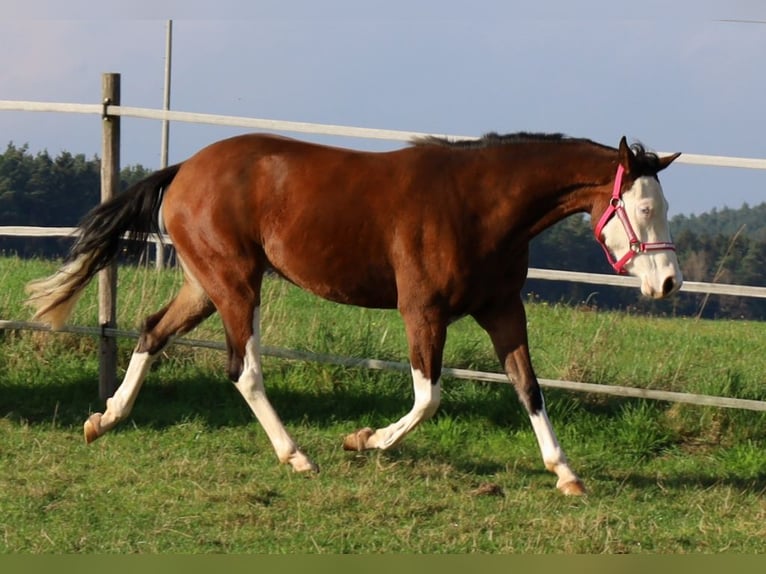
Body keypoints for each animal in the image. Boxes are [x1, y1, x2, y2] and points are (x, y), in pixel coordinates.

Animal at [25, 130, 684, 496]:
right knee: (243, 370)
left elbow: (529, 387)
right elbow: (429, 396)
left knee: (151, 332)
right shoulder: (422, 310)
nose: (669, 283)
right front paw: (363, 440)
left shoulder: (501, 310)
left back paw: (104, 419)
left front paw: (566, 474)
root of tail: (184, 169)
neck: (479, 205)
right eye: (643, 209)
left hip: (206, 285)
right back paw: (298, 456)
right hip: (236, 285)